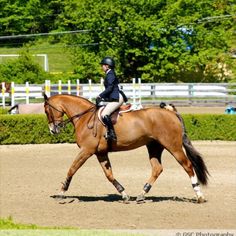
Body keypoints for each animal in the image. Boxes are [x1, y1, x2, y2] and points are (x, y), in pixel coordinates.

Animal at [43, 93, 209, 203]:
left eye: (46, 111)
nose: (53, 130)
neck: (84, 117)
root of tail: (171, 112)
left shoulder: (86, 150)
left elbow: (72, 169)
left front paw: (62, 191)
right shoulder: (100, 153)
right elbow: (109, 175)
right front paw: (124, 194)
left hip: (173, 147)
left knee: (187, 166)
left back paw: (199, 196)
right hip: (154, 147)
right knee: (157, 168)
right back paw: (141, 194)